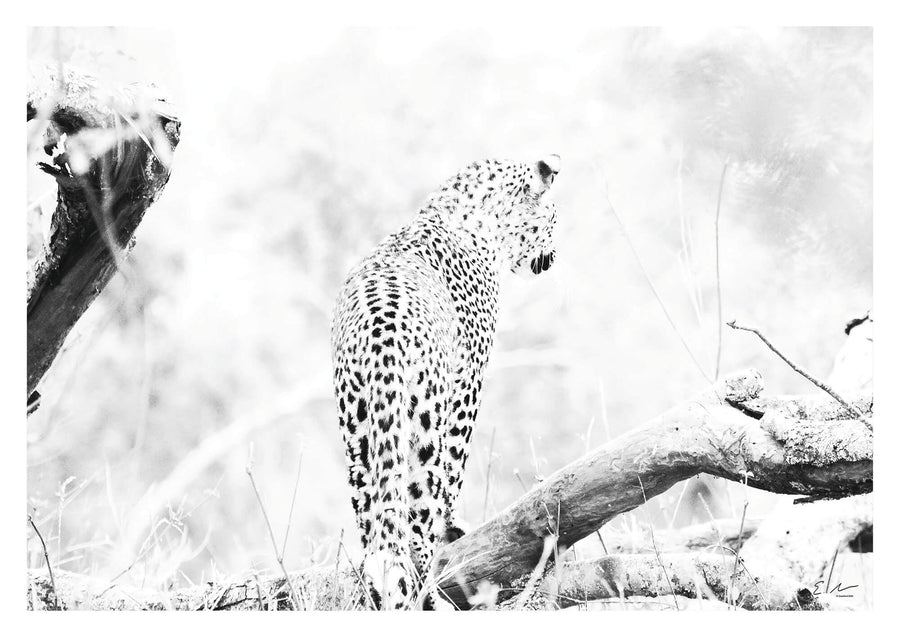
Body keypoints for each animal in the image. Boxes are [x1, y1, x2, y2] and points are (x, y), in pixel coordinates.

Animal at [331, 155, 561, 609]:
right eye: (554, 219)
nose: (554, 255)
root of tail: (382, 333)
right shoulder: (468, 381)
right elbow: (455, 468)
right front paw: (454, 527)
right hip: (424, 423)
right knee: (417, 520)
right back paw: (428, 590)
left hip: (358, 431)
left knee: (374, 529)